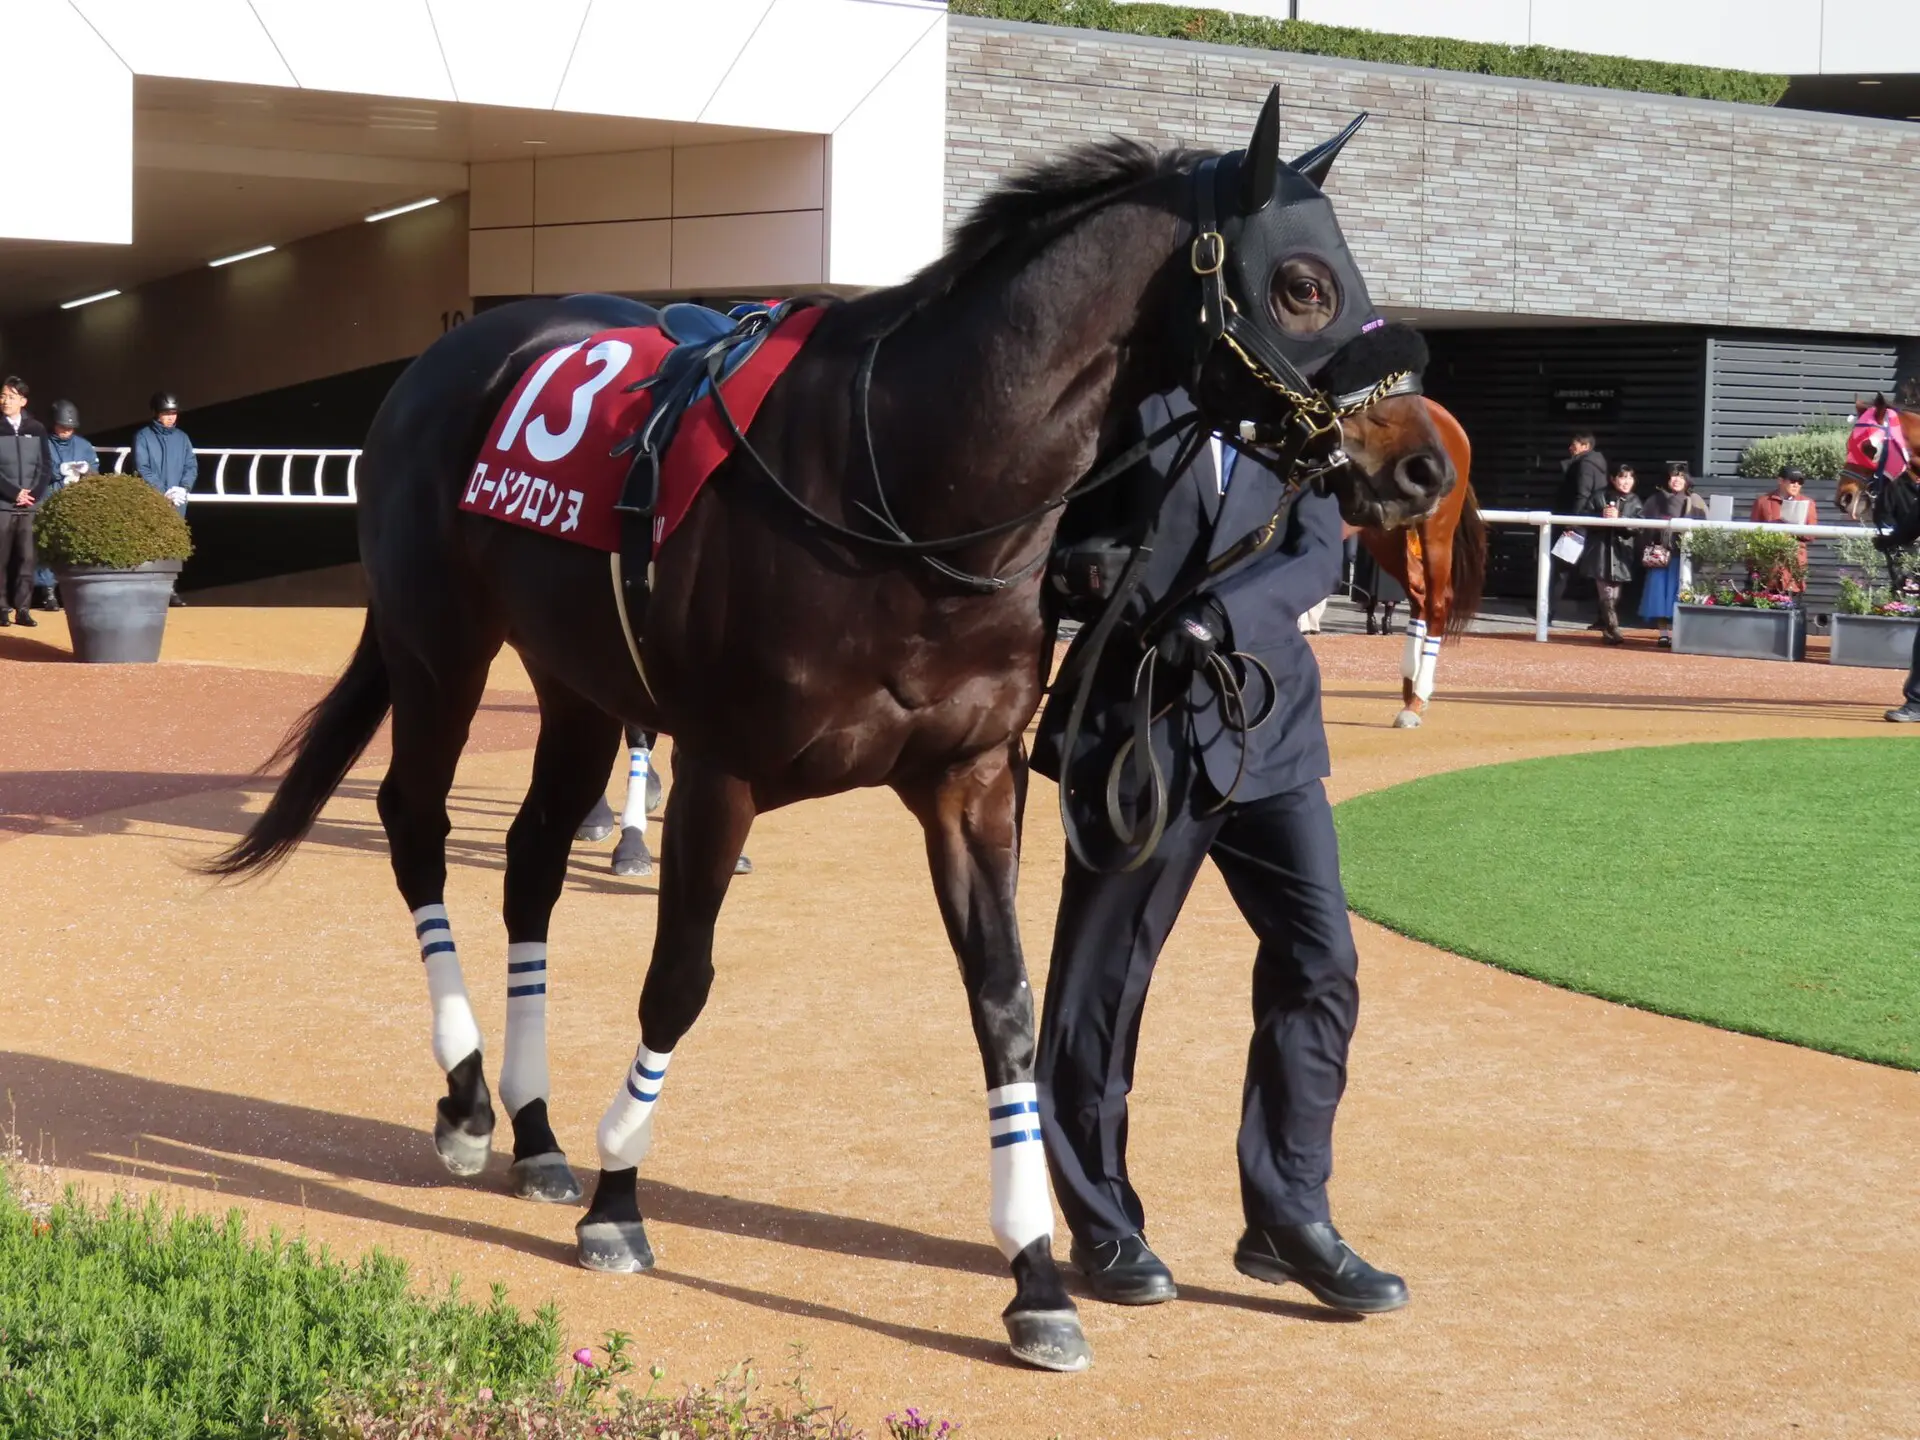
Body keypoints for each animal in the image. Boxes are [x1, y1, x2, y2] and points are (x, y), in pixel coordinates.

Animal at [203, 89, 1455, 1373]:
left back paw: (537, 1129)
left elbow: (1008, 1008)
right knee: (415, 824)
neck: (899, 481)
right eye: (1302, 283)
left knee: (532, 862)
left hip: (578, 685)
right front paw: (620, 1200)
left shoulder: (971, 780)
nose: (1418, 461)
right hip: (439, 644)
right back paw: (465, 1103)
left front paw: (1035, 1277)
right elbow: (677, 980)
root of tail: (453, 354)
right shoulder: (722, 771)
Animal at [1354, 400, 1483, 727]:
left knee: (1436, 601)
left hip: (1434, 528)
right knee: (1418, 595)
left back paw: (1417, 698)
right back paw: (1410, 687)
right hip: (1384, 536)